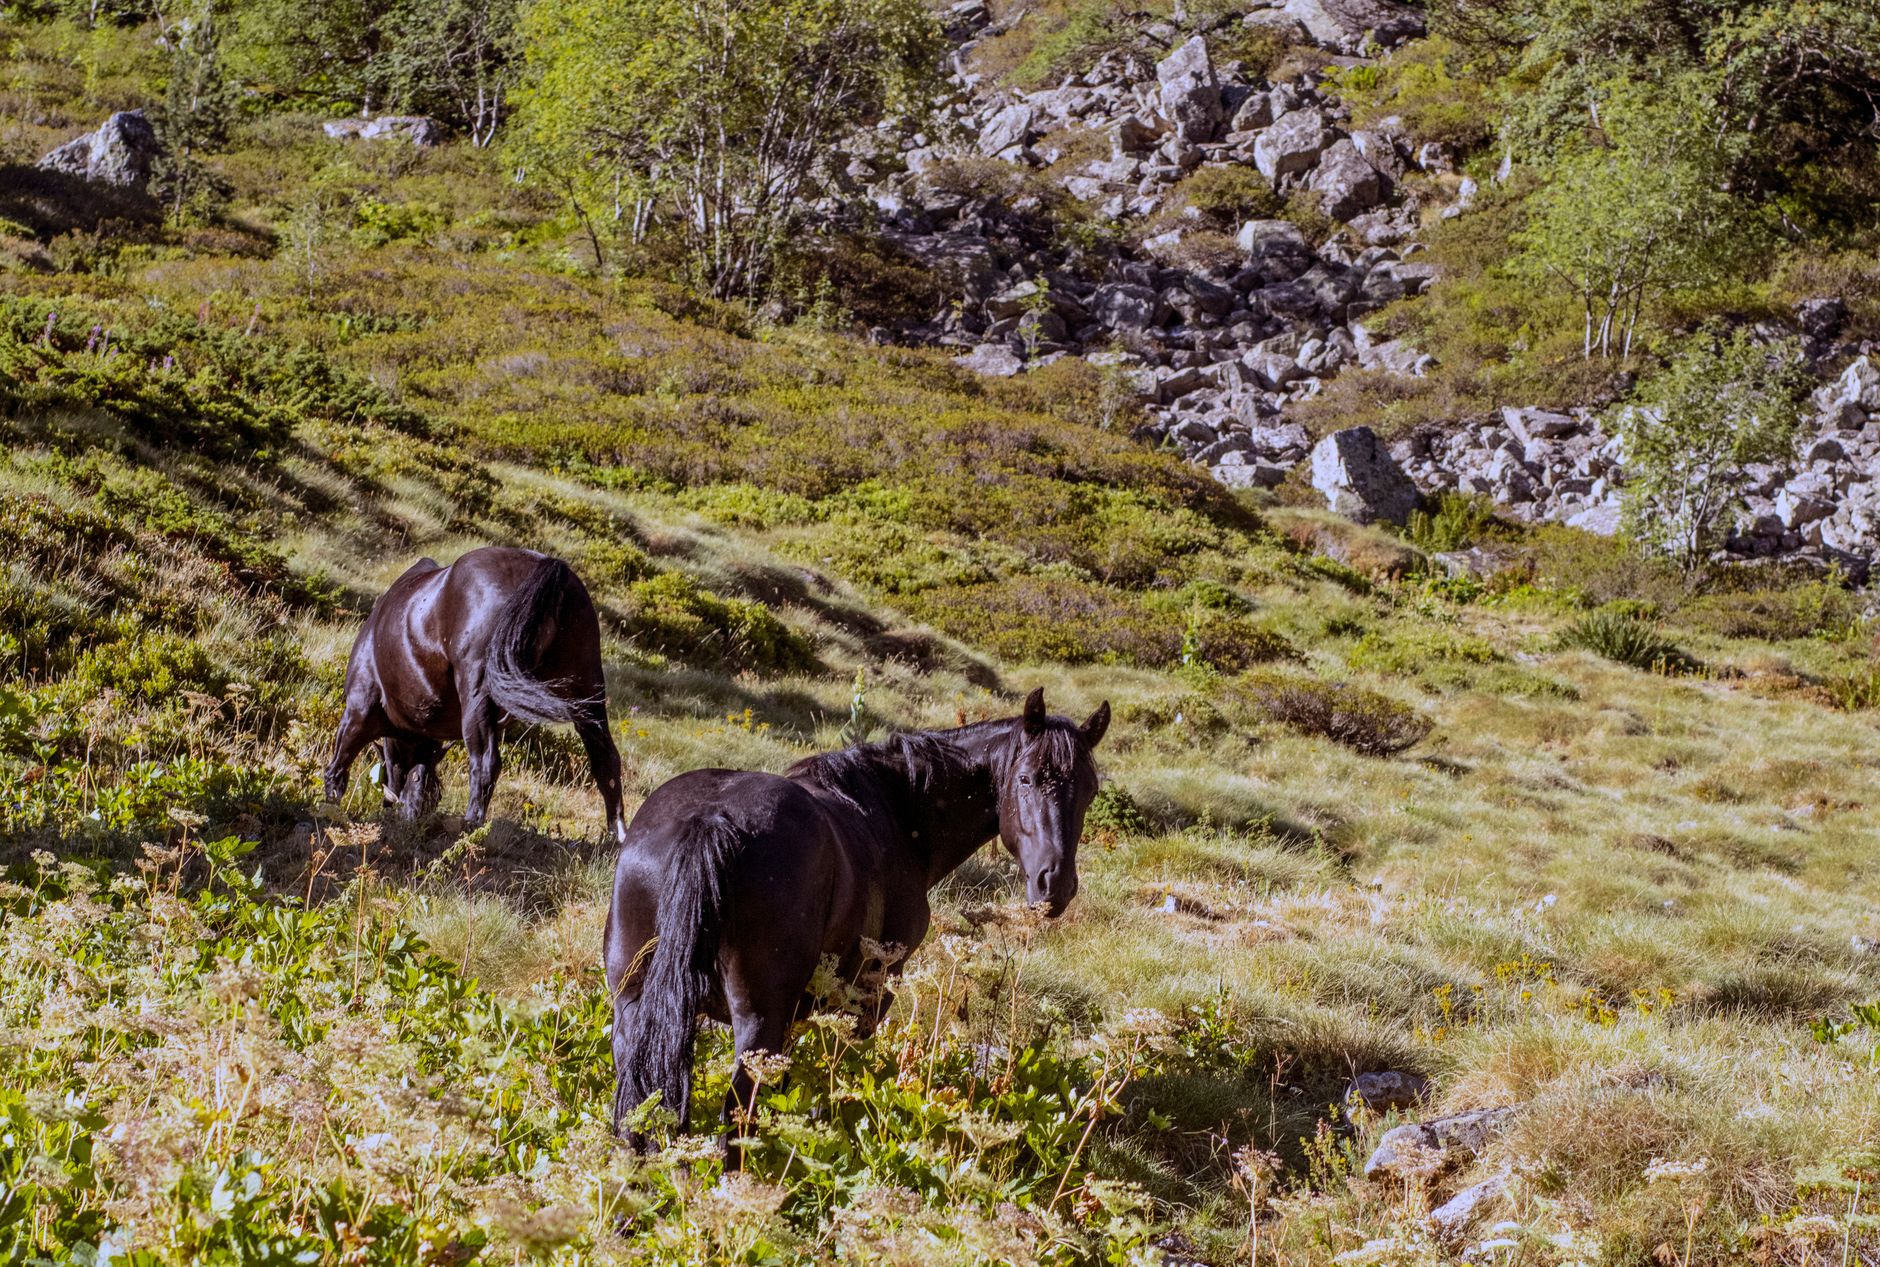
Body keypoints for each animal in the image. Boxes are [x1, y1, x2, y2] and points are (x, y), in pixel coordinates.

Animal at [324, 546, 627, 841]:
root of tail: (550, 571)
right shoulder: (425, 740)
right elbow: (417, 782)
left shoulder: (359, 710)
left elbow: (338, 767)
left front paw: (329, 807)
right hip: (587, 691)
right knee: (606, 762)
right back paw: (617, 835)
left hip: (478, 694)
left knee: (484, 762)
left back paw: (470, 825)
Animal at [603, 686, 1109, 1143]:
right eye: (1025, 779)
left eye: (1089, 790)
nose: (1055, 885)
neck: (899, 812)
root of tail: (709, 822)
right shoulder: (870, 994)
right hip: (757, 1022)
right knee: (737, 1114)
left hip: (636, 1009)